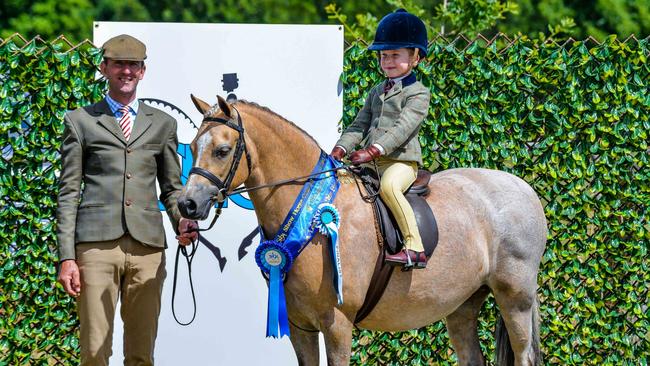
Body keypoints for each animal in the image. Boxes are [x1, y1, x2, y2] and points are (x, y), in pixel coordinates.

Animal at [177, 96, 548, 364]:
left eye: (222, 150)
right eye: (192, 147)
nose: (187, 205)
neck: (311, 214)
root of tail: (524, 188)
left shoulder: (337, 324)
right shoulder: (299, 325)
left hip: (515, 299)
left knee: (524, 355)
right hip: (462, 306)